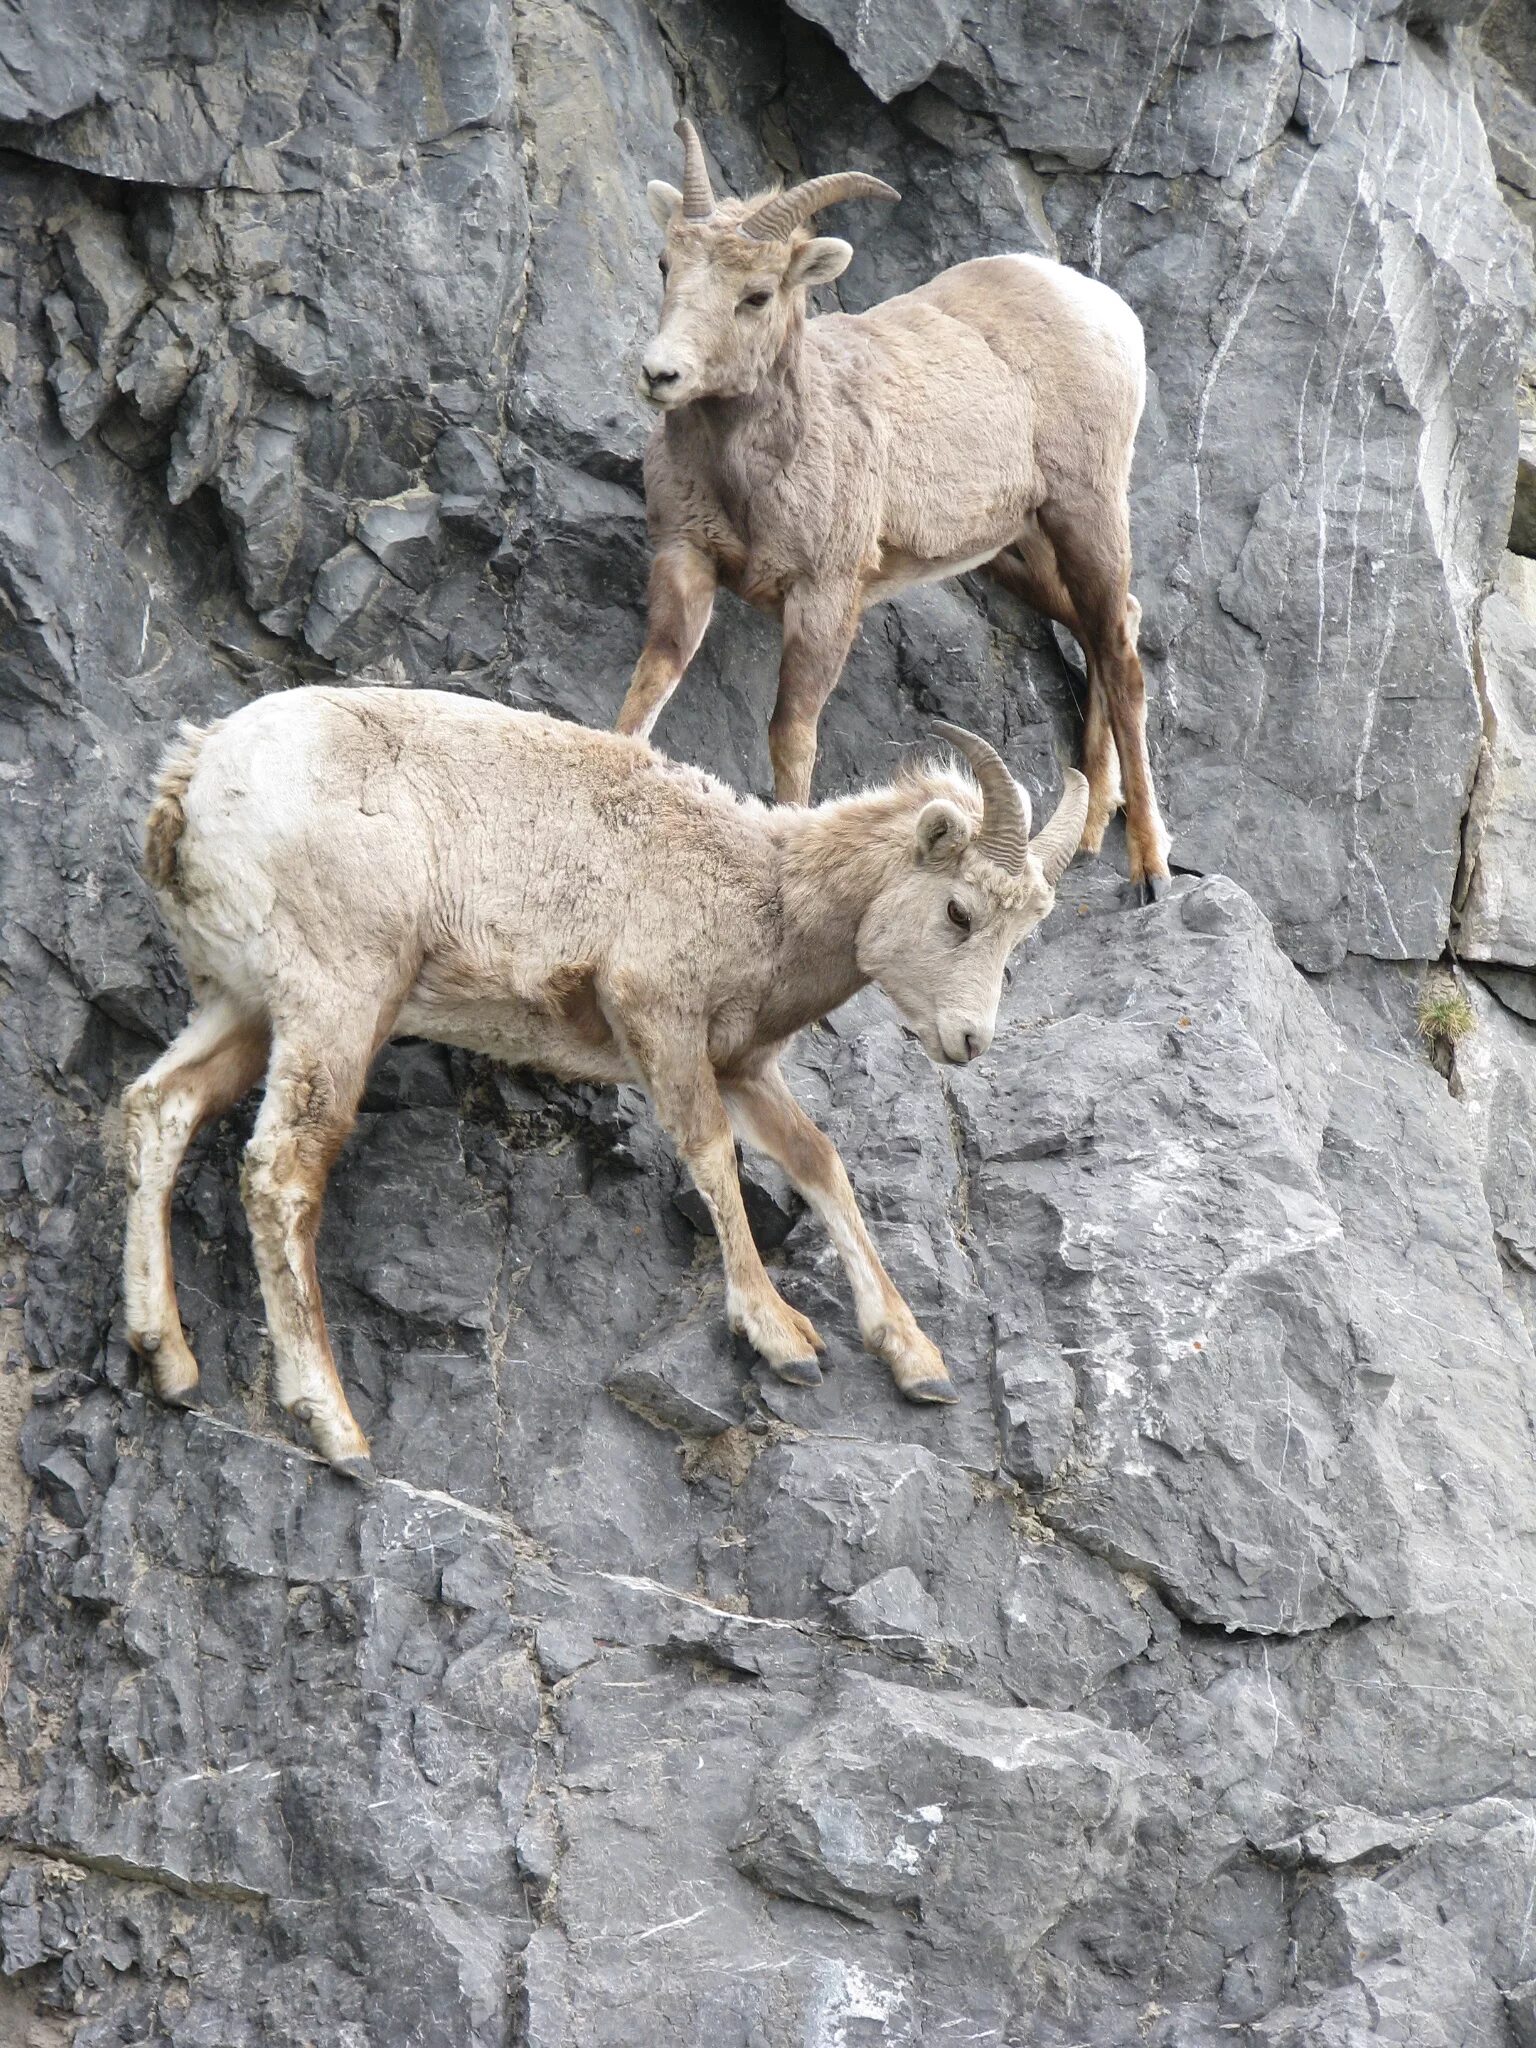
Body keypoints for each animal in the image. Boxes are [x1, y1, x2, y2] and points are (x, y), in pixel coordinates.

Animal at [120, 688, 1089, 1474]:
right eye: (959, 911)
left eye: (1021, 935)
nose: (968, 1040)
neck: (765, 893)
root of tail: (195, 774)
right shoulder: (659, 1019)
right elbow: (711, 1151)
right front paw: (782, 1338)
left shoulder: (741, 1067)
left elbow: (820, 1163)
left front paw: (918, 1361)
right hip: (339, 1000)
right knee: (282, 1172)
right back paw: (335, 1428)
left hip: (245, 1005)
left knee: (157, 1108)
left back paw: (166, 1358)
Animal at [618, 121, 1171, 897]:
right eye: (667, 264)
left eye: (756, 295)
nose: (661, 373)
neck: (746, 476)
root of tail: (1102, 306)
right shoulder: (685, 556)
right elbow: (648, 687)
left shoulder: (825, 595)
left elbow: (791, 735)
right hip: (1015, 552)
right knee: (1107, 628)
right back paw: (1089, 834)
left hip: (1088, 514)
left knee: (1122, 660)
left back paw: (1150, 870)